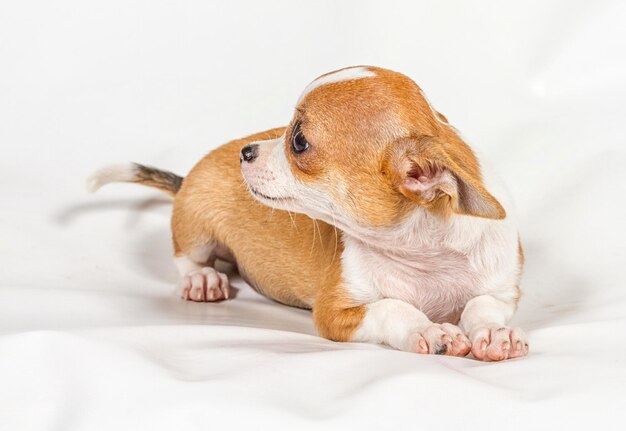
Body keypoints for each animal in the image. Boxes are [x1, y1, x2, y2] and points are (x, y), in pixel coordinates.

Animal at [89, 65, 528, 362]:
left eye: (298, 141)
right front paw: (430, 328)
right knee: (186, 257)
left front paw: (494, 333)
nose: (246, 151)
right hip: (196, 228)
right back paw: (203, 279)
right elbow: (394, 306)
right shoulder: (335, 312)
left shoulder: (501, 291)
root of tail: (186, 180)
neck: (424, 253)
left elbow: (479, 305)